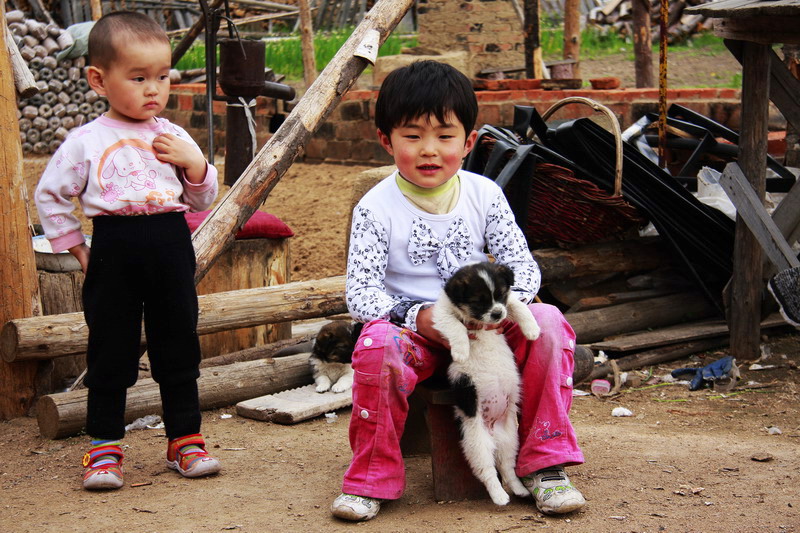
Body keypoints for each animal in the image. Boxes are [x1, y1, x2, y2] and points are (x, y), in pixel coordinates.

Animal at [434, 264, 540, 504]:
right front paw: (461, 351)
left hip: (510, 440)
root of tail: (492, 432)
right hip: (476, 443)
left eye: (499, 294)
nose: (497, 314)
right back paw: (500, 497)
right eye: (478, 302)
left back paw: (519, 489)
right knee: (488, 472)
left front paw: (532, 330)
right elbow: (455, 326)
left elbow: (518, 305)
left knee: (507, 468)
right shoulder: (442, 313)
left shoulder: (508, 303)